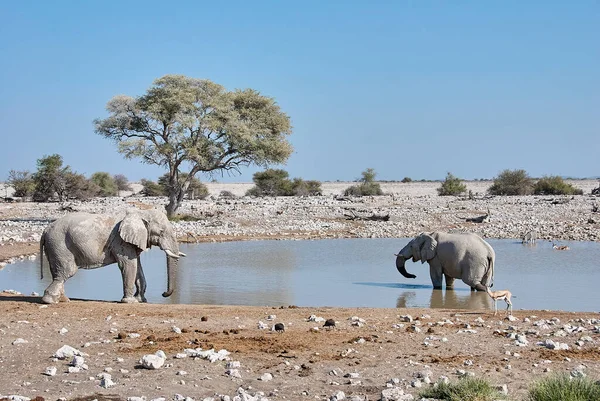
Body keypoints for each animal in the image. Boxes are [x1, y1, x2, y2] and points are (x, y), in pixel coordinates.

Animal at [40, 206, 185, 304]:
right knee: (67, 271)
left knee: (59, 273)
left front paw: (141, 300)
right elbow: (128, 265)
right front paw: (130, 302)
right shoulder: (120, 241)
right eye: (161, 231)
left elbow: (137, 267)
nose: (163, 293)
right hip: (59, 244)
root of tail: (45, 230)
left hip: (55, 246)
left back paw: (63, 299)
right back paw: (50, 301)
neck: (140, 212)